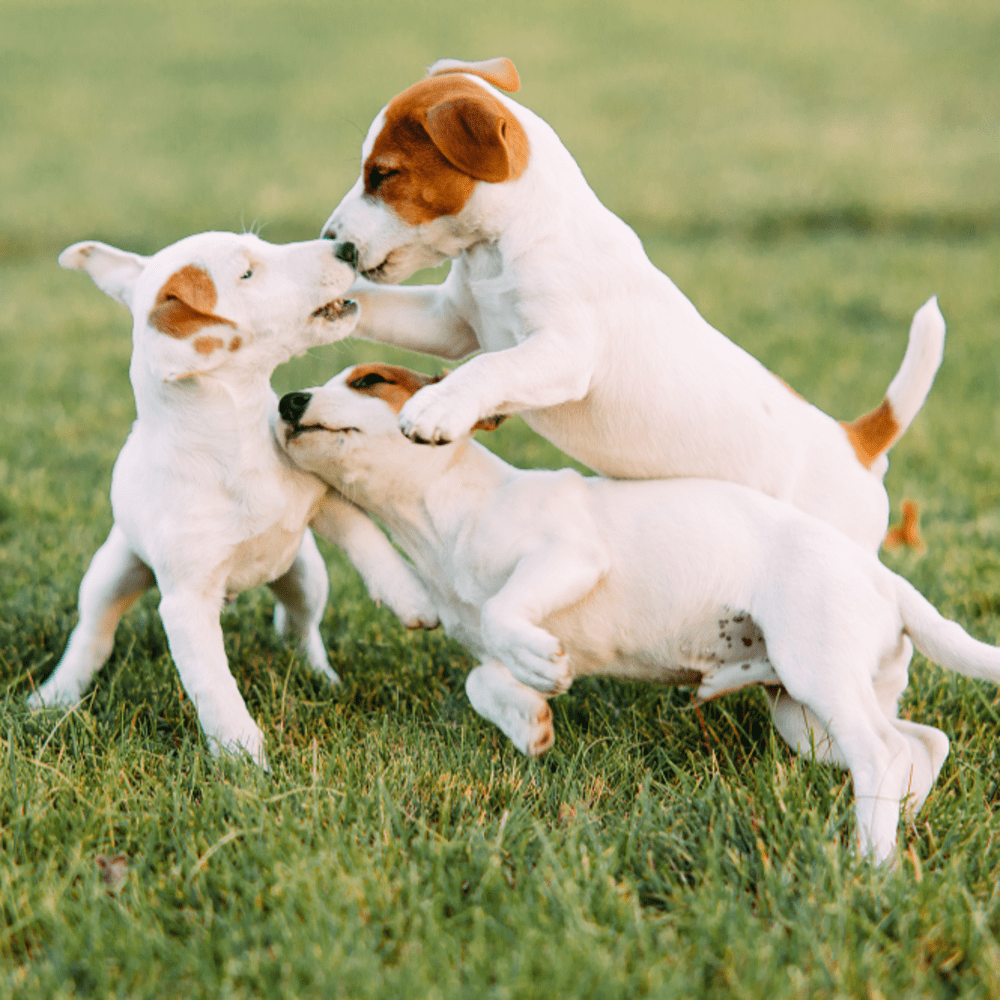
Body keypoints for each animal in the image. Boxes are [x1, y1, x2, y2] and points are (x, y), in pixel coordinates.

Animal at [30, 234, 438, 764]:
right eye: (246, 273)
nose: (345, 246)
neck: (237, 440)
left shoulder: (322, 499)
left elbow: (367, 537)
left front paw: (409, 595)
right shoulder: (186, 604)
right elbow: (213, 683)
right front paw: (242, 756)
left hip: (305, 574)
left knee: (299, 626)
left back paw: (320, 676)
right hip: (111, 574)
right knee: (92, 635)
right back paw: (54, 696)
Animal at [320, 54, 944, 752]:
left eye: (384, 175)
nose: (332, 240)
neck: (506, 245)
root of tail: (856, 440)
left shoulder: (561, 353)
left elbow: (490, 366)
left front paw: (439, 410)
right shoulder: (450, 321)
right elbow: (388, 312)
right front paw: (319, 298)